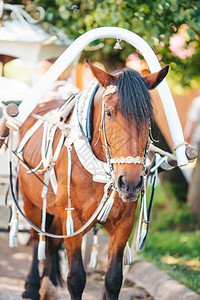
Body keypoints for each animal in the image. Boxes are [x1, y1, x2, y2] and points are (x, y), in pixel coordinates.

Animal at [18, 61, 168, 300]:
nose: (130, 183)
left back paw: (49, 284)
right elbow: (76, 278)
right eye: (109, 113)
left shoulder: (124, 223)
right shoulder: (73, 219)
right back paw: (32, 285)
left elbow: (114, 279)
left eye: (148, 117)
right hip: (31, 201)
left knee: (51, 244)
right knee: (36, 238)